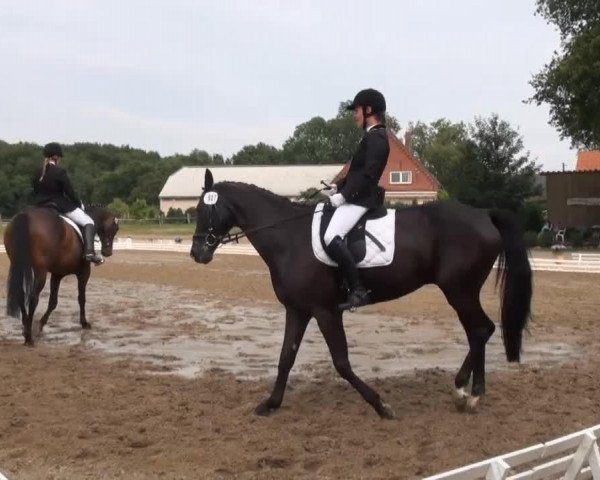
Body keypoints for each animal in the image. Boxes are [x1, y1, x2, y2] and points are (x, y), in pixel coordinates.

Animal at [4, 204, 118, 344]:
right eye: (114, 229)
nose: (108, 252)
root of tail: (24, 216)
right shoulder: (84, 272)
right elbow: (81, 298)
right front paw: (84, 323)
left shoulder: (57, 275)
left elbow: (53, 302)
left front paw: (40, 324)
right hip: (40, 271)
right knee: (33, 298)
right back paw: (29, 338)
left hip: (20, 267)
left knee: (21, 294)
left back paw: (26, 329)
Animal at [191, 171, 528, 418]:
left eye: (206, 209)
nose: (197, 253)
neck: (289, 238)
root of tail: (483, 214)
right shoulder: (298, 309)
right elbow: (286, 357)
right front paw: (271, 404)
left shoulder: (325, 311)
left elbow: (341, 362)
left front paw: (381, 405)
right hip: (463, 292)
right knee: (479, 332)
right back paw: (467, 393)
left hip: (460, 290)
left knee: (481, 330)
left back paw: (469, 394)